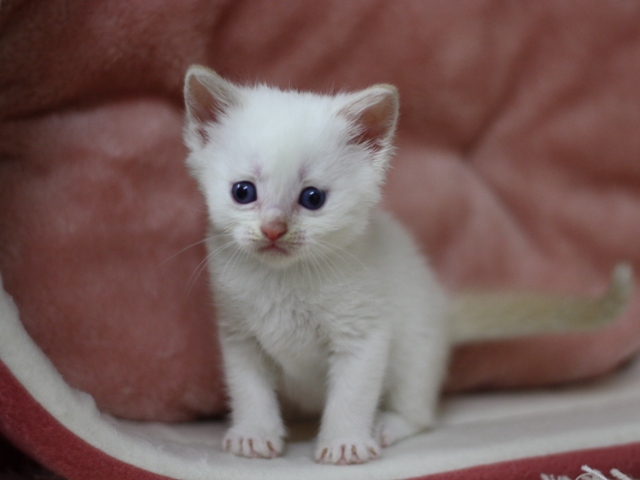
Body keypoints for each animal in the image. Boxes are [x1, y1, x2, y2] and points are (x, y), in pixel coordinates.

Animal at [182, 65, 632, 464]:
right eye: (243, 192)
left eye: (313, 198)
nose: (273, 229)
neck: (285, 280)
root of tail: (442, 308)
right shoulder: (238, 335)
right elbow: (249, 389)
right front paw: (255, 435)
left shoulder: (363, 333)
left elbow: (352, 394)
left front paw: (344, 444)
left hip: (417, 351)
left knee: (421, 412)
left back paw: (388, 424)